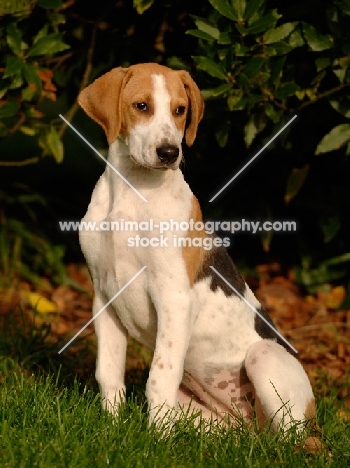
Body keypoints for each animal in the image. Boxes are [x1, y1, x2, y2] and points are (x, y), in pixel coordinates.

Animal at [78, 62, 316, 436]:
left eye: (180, 110)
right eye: (141, 106)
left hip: (264, 359)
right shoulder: (104, 296)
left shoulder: (174, 298)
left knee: (291, 439)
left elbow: (158, 378)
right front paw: (111, 428)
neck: (134, 189)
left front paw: (157, 440)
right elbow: (109, 374)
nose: (169, 153)